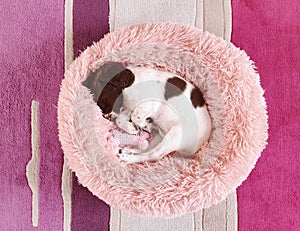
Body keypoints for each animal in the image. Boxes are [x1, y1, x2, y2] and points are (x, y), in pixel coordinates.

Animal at [83, 61, 212, 164]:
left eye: (104, 101)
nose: (106, 117)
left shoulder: (151, 103)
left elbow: (135, 116)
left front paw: (144, 125)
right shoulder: (128, 108)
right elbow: (121, 120)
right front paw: (134, 127)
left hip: (176, 134)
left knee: (154, 155)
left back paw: (128, 158)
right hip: (162, 136)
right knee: (148, 148)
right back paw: (129, 150)